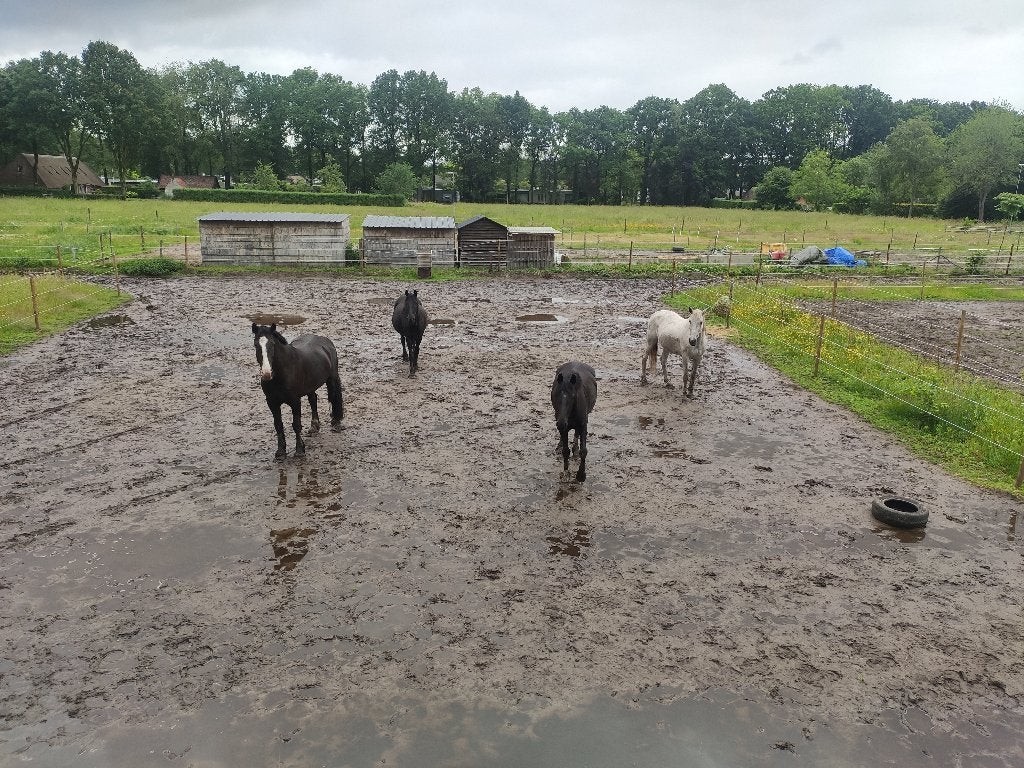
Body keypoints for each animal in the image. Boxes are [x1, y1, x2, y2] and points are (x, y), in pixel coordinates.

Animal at [252, 323, 344, 458]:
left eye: (272, 344)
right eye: (256, 344)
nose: (267, 374)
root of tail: (324, 340)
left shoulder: (295, 401)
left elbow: (296, 425)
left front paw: (299, 450)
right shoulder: (272, 403)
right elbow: (278, 425)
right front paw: (280, 452)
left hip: (332, 378)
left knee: (334, 396)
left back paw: (336, 423)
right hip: (310, 386)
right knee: (313, 400)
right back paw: (314, 426)